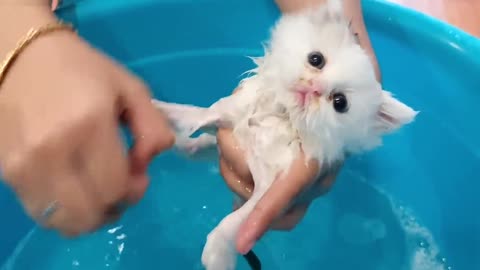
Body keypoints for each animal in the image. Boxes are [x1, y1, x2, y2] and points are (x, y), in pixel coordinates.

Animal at [153, 1, 416, 268]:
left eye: (340, 102)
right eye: (316, 60)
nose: (314, 88)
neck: (281, 116)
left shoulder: (269, 191)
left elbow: (235, 223)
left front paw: (218, 256)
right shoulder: (225, 117)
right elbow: (192, 113)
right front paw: (153, 107)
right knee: (197, 144)